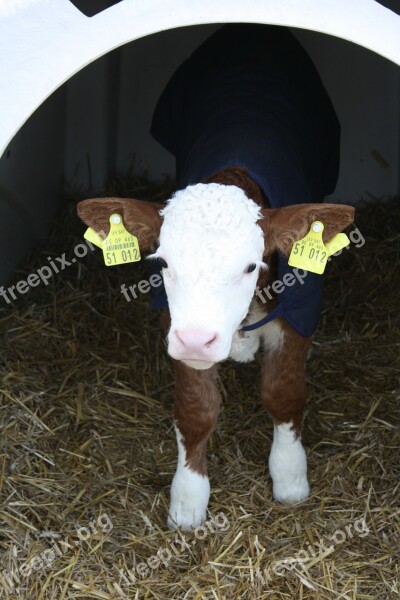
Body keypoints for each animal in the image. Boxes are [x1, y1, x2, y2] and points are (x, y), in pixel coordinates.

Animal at [77, 23, 354, 528]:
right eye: (164, 263)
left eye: (250, 265)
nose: (197, 339)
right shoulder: (176, 320)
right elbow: (196, 410)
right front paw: (188, 500)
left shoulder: (301, 309)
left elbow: (284, 394)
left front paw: (290, 478)